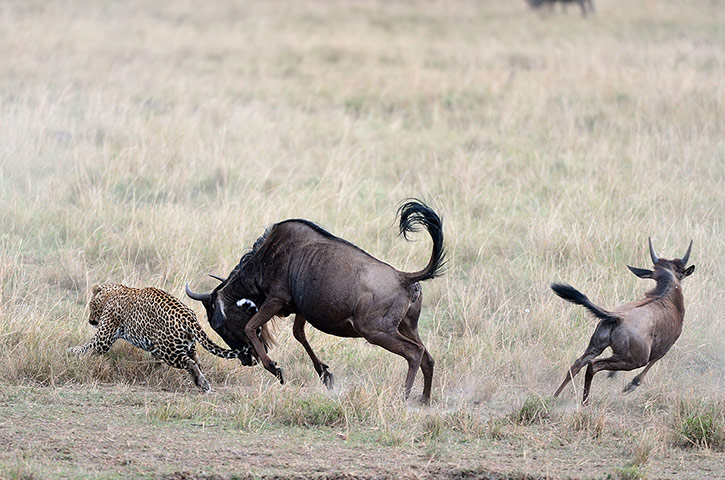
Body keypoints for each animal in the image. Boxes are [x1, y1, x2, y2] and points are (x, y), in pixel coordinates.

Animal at [68, 283, 255, 393]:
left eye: (91, 306)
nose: (90, 321)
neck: (112, 291)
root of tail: (189, 317)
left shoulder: (103, 338)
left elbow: (88, 346)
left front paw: (71, 352)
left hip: (169, 351)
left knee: (189, 363)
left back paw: (203, 384)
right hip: (187, 346)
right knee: (197, 361)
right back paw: (200, 380)